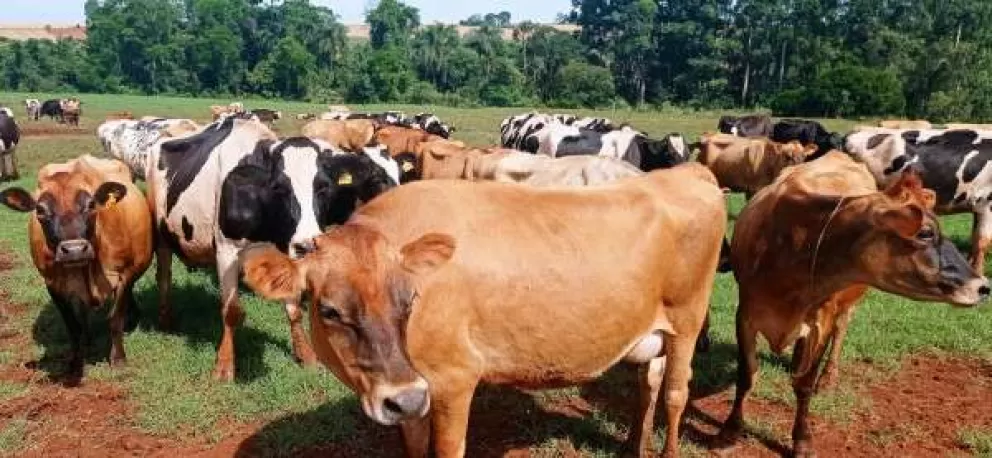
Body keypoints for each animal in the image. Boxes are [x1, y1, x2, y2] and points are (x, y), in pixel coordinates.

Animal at [0, 155, 153, 379]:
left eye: (91, 204)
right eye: (40, 210)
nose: (74, 250)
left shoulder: (124, 274)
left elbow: (115, 318)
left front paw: (118, 358)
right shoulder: (53, 284)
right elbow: (73, 326)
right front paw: (74, 363)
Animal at [148, 117, 397, 381]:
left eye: (323, 187)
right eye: (279, 188)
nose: (306, 245)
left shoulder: (286, 251)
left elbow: (294, 308)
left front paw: (306, 355)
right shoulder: (226, 251)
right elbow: (231, 311)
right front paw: (224, 365)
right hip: (161, 234)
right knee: (164, 275)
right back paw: (165, 319)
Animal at [239, 162, 727, 457]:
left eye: (409, 301)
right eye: (330, 310)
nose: (401, 396)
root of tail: (685, 171)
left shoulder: (454, 380)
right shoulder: (416, 395)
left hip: (688, 319)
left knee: (676, 392)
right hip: (655, 330)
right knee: (649, 382)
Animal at [719, 152, 989, 457]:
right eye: (925, 233)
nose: (982, 286)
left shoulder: (820, 321)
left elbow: (804, 384)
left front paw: (802, 440)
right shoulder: (746, 313)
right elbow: (747, 375)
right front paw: (730, 430)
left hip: (846, 307)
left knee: (841, 331)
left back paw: (829, 376)